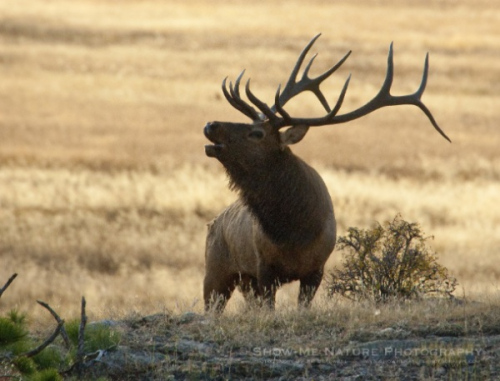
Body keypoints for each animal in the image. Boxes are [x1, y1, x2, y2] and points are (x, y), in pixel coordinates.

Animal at [202, 33, 450, 312]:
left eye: (256, 133)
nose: (210, 124)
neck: (294, 233)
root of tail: (214, 222)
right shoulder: (263, 267)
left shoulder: (315, 269)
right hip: (216, 269)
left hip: (242, 279)